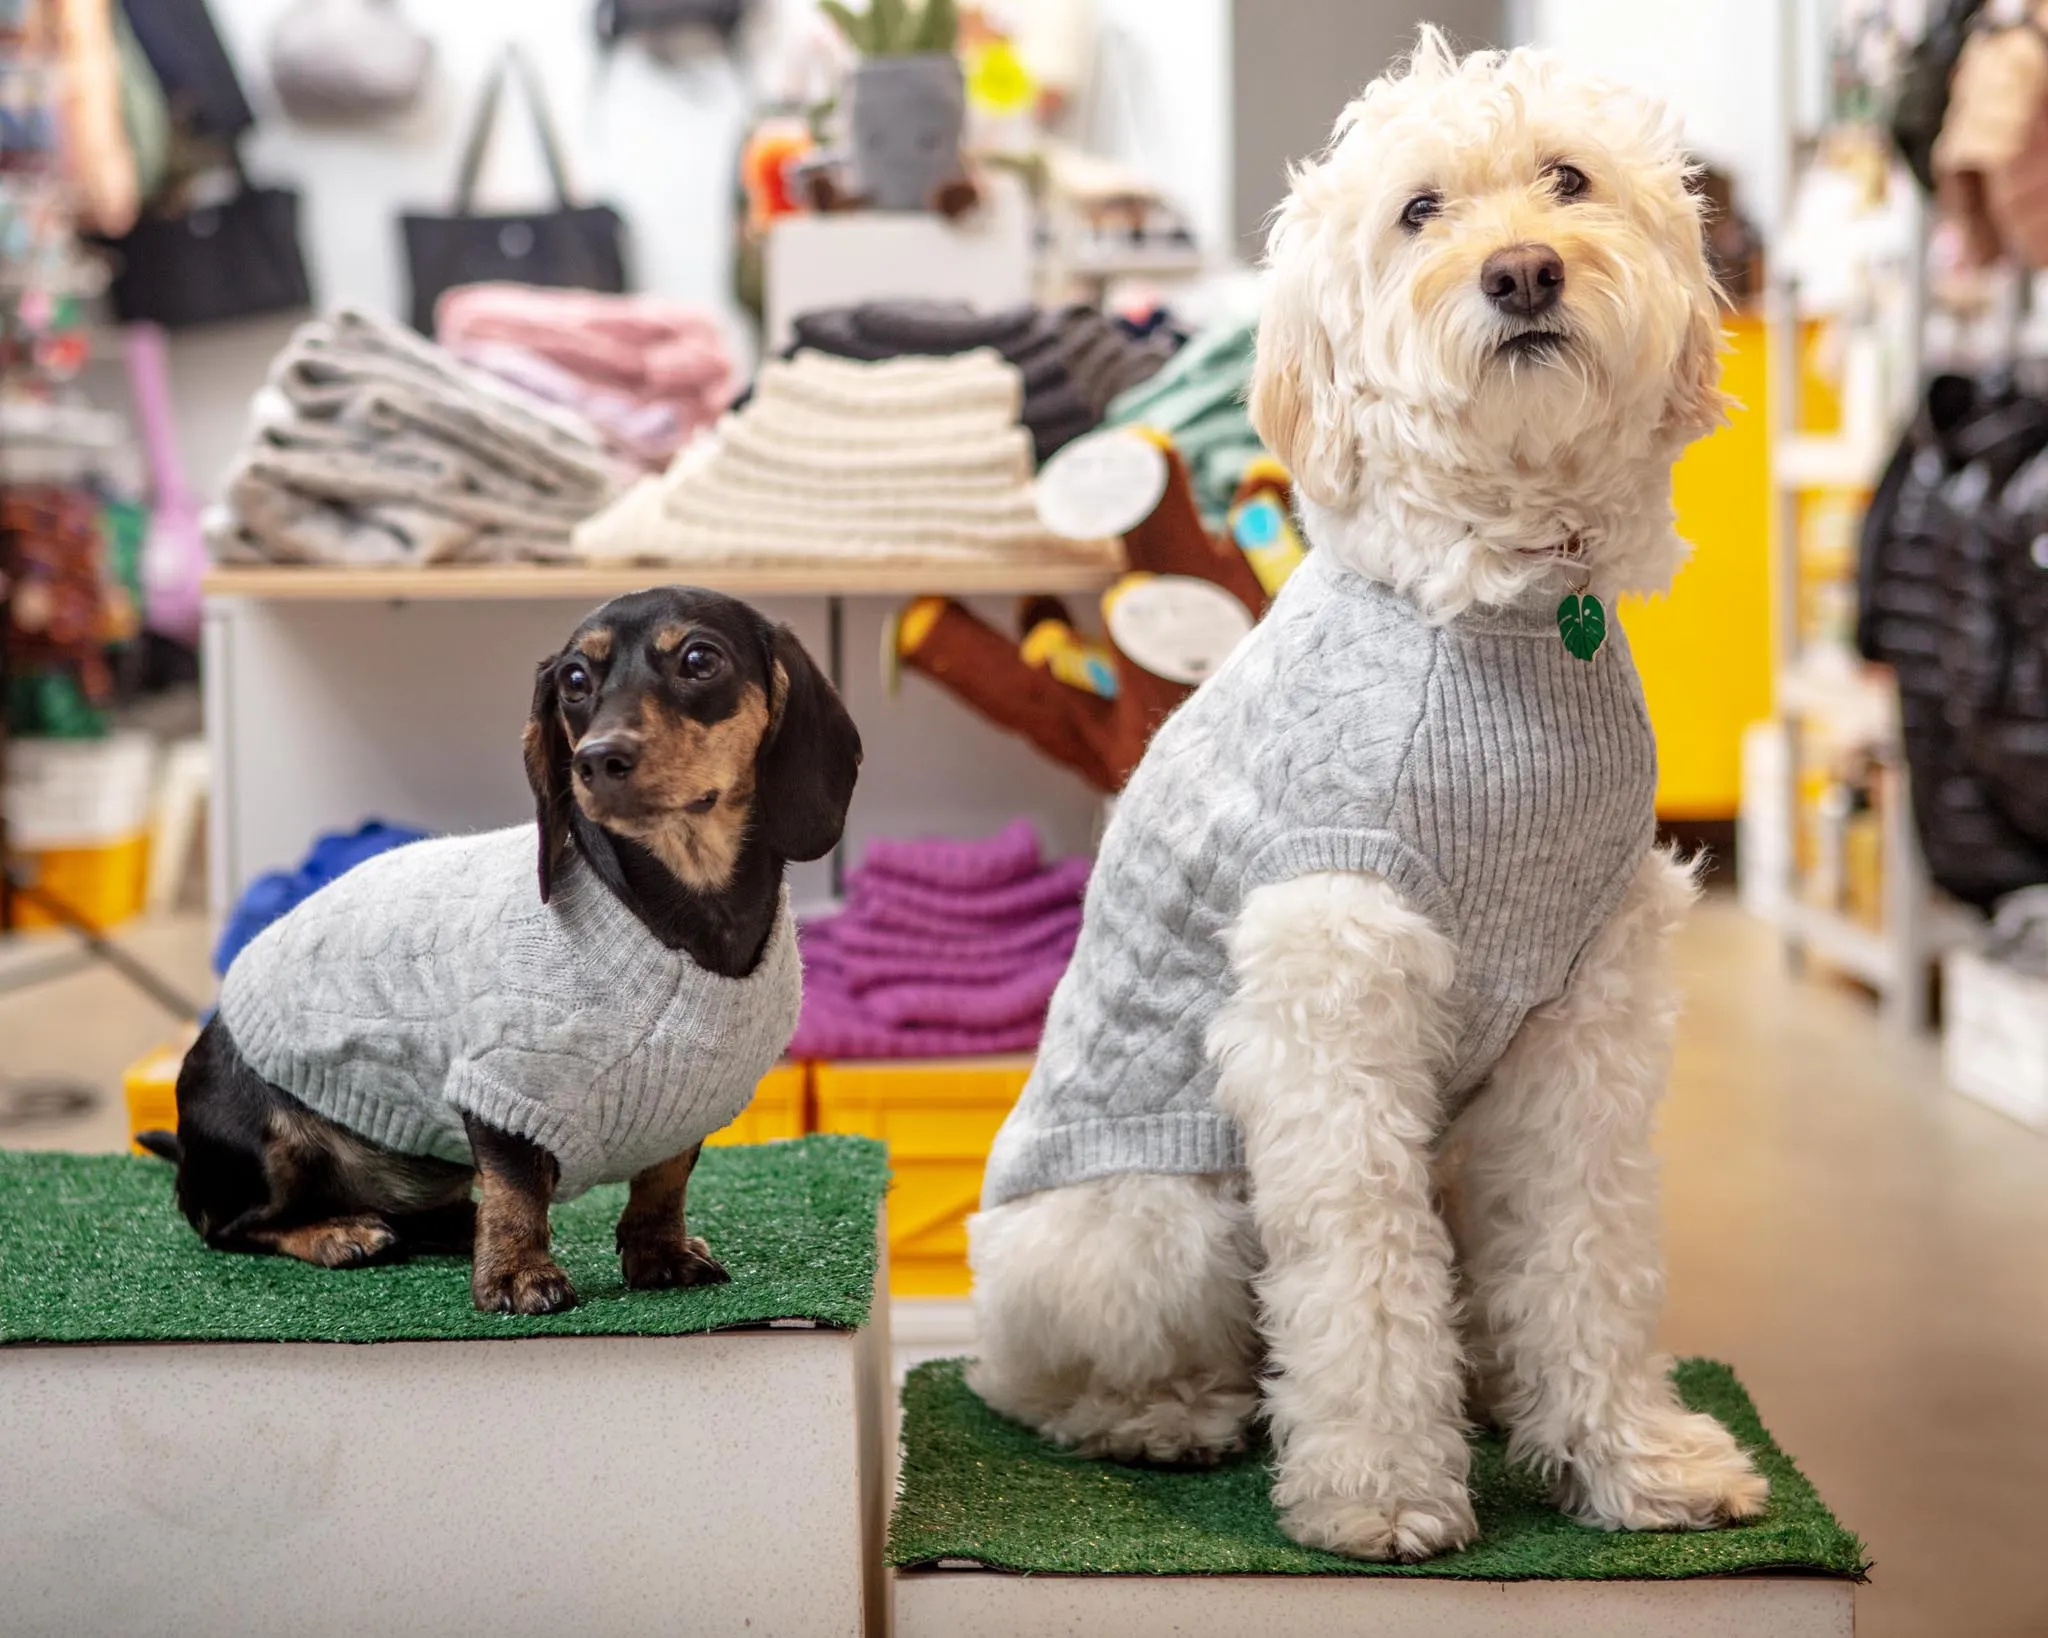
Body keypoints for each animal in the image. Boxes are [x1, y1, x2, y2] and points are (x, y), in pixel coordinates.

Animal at [966, 25, 1769, 1564]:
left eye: (1565, 179)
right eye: (1418, 211)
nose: (1521, 273)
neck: (1509, 606)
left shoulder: (1585, 1011)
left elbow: (1583, 1248)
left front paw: (1628, 1460)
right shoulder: (1331, 1002)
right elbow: (1362, 1269)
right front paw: (1380, 1489)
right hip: (1150, 1224)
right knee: (1036, 1379)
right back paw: (1170, 1415)